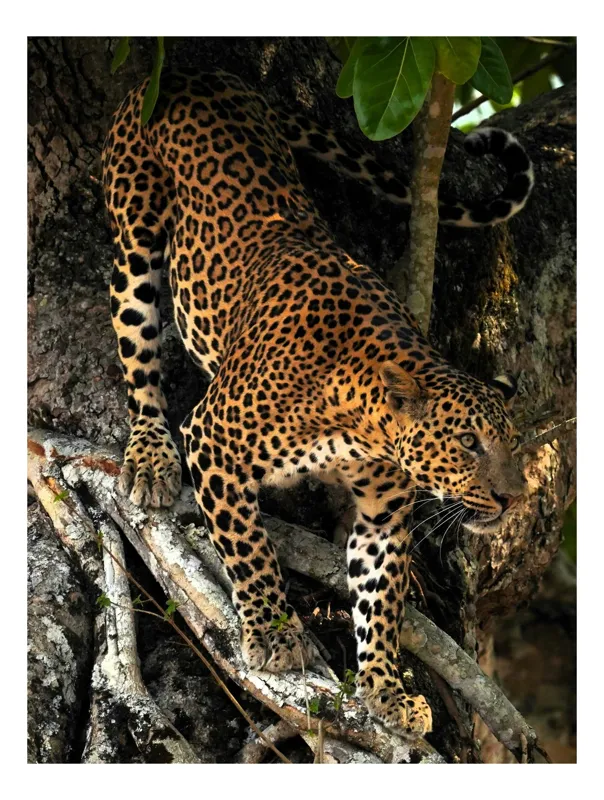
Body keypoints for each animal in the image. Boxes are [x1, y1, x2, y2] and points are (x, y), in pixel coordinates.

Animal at [102, 68, 531, 739]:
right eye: (469, 443)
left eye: (512, 446)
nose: (516, 498)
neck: (360, 419)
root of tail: (196, 73)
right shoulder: (213, 441)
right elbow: (248, 548)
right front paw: (273, 635)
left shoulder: (382, 513)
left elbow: (379, 600)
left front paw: (386, 689)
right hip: (135, 233)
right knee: (136, 349)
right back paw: (149, 457)